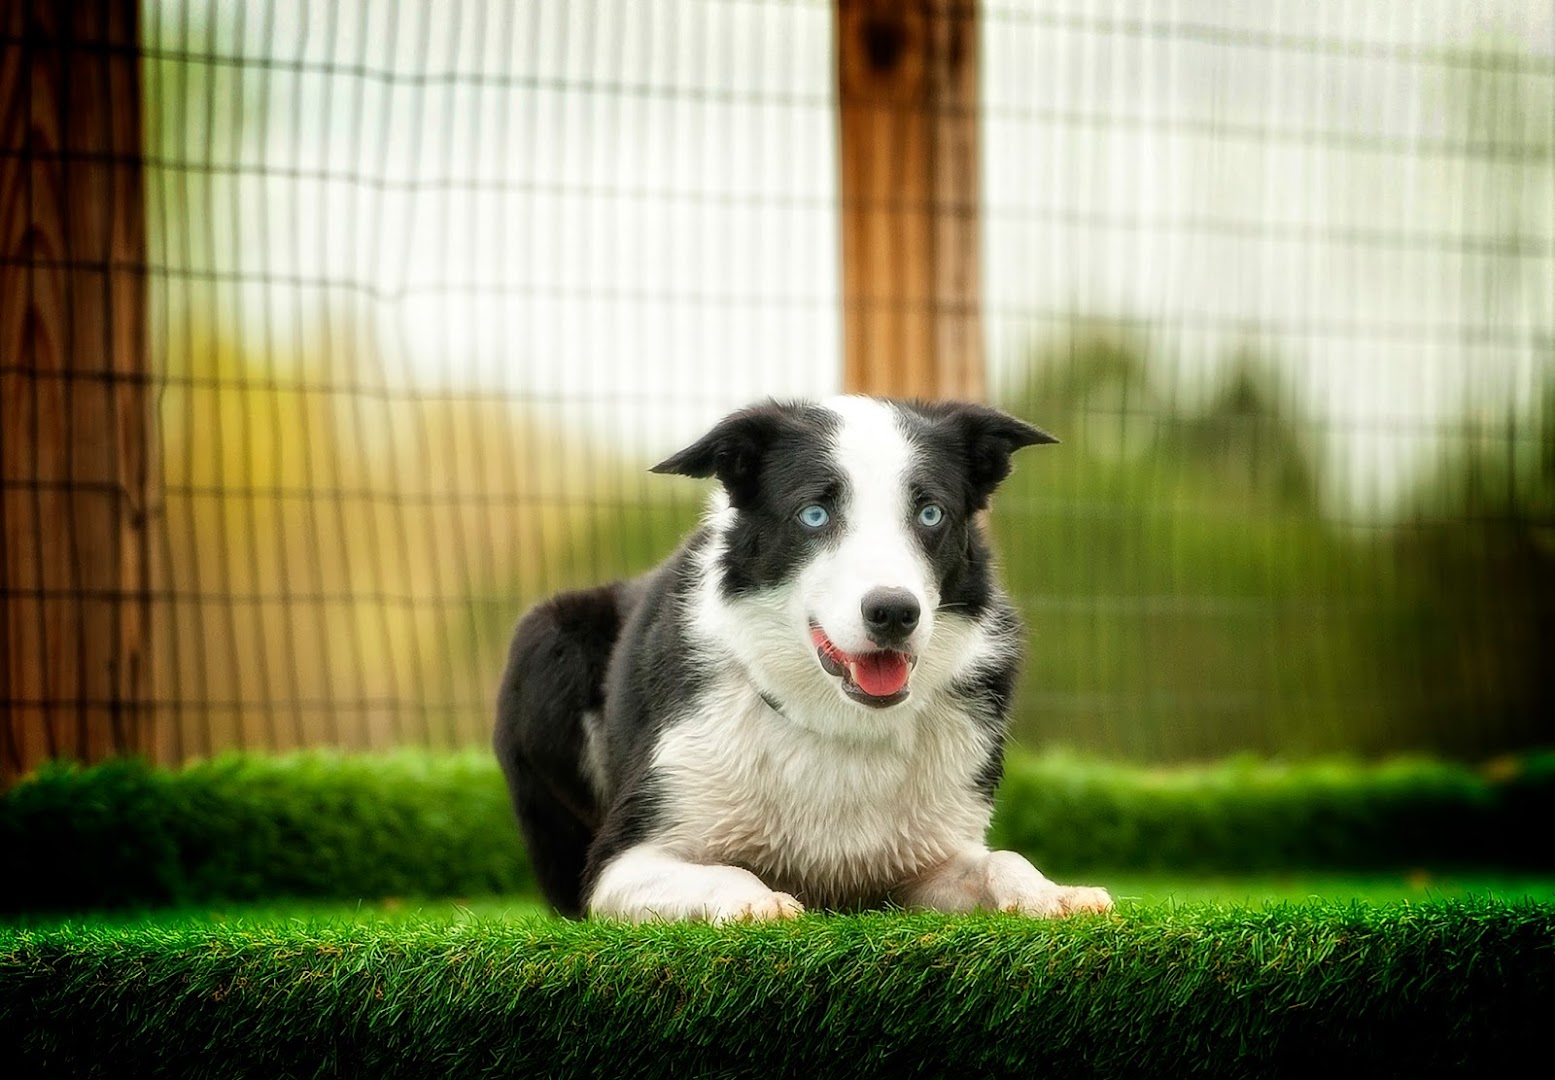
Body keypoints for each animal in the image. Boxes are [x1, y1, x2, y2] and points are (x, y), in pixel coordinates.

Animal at [491, 400, 1113, 926]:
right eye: (814, 514)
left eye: (931, 513)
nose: (894, 612)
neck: (838, 719)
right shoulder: (619, 866)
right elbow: (727, 871)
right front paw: (761, 903)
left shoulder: (926, 861)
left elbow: (999, 859)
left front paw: (1053, 893)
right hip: (543, 639)